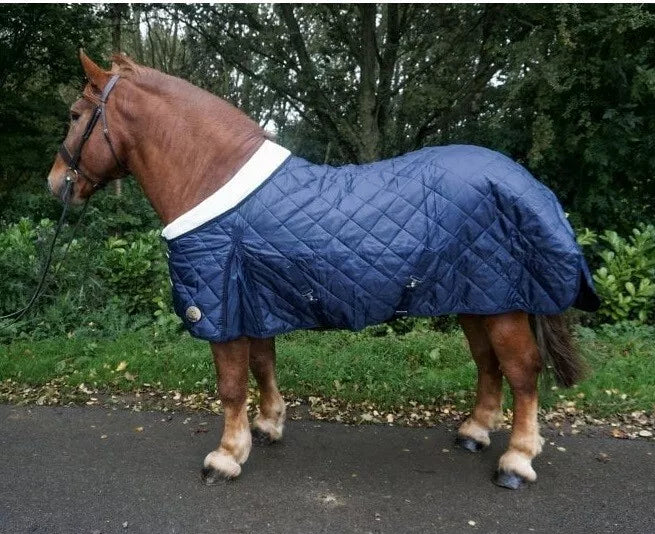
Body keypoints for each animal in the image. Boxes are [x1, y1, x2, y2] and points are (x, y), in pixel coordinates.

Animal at [46, 52, 600, 492]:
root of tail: (531, 187)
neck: (214, 179)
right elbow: (263, 365)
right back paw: (474, 432)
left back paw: (517, 461)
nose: (55, 183)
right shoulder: (255, 301)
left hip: (503, 302)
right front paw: (267, 427)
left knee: (521, 371)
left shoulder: (221, 307)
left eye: (74, 115)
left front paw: (225, 457)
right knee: (489, 364)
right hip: (477, 296)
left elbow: (231, 384)